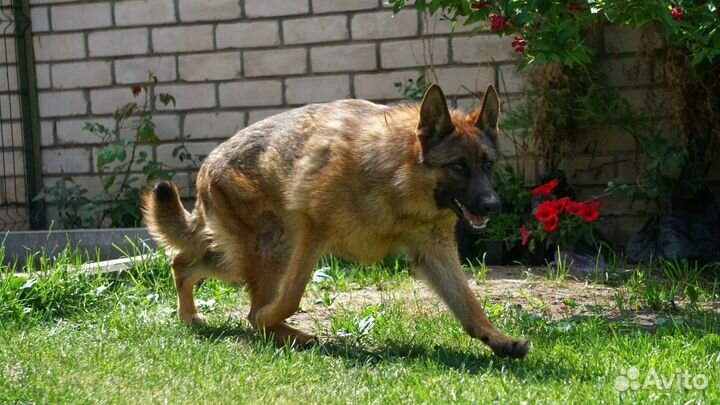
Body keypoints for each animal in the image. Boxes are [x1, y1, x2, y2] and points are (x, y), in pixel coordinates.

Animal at [142, 83, 528, 356]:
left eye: (487, 164)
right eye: (458, 166)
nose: (493, 205)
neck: (396, 175)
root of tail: (207, 166)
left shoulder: (434, 253)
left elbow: (469, 304)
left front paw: (497, 339)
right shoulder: (312, 237)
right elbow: (288, 300)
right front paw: (266, 319)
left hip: (249, 256)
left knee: (182, 263)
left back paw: (194, 316)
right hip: (274, 249)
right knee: (224, 287)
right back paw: (278, 332)